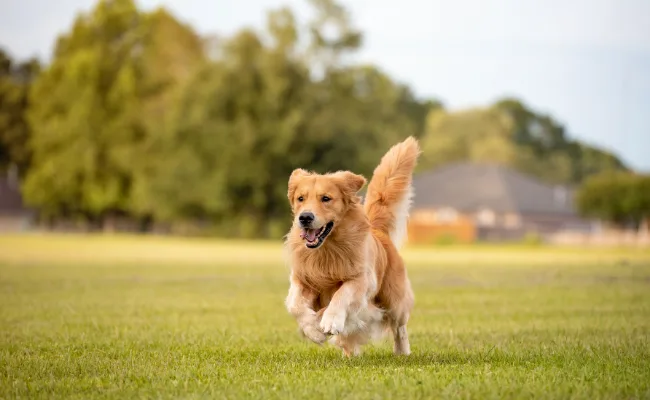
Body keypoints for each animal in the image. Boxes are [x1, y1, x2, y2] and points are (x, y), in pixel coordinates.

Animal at [284, 136, 420, 354]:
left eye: (326, 198)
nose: (304, 217)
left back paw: (402, 352)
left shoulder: (362, 279)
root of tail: (379, 232)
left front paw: (329, 320)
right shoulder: (302, 278)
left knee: (400, 327)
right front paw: (313, 329)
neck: (327, 249)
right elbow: (294, 305)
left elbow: (342, 293)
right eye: (300, 198)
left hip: (394, 300)